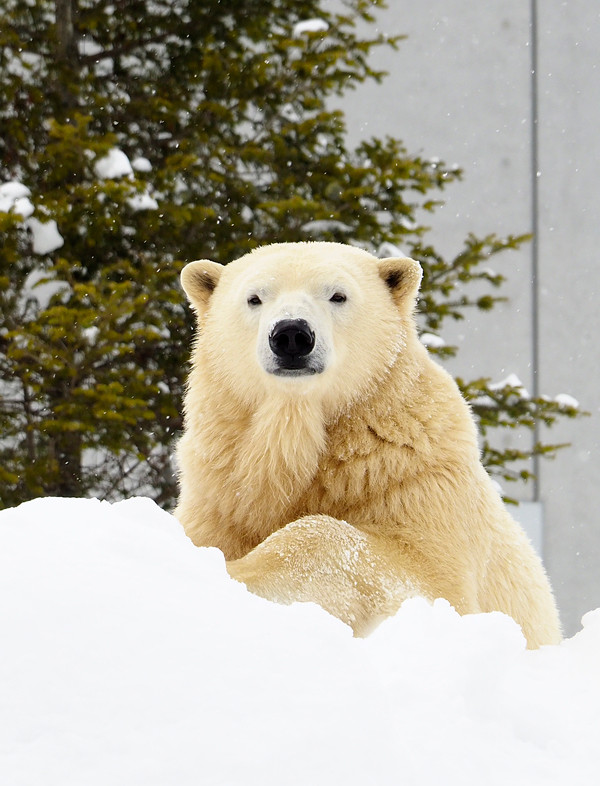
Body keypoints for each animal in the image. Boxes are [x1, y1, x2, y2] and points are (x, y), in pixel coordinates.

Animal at [175, 242, 564, 648]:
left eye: (338, 295)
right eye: (254, 298)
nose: (292, 334)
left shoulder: (411, 475)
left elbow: (428, 573)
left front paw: (239, 573)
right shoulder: (224, 497)